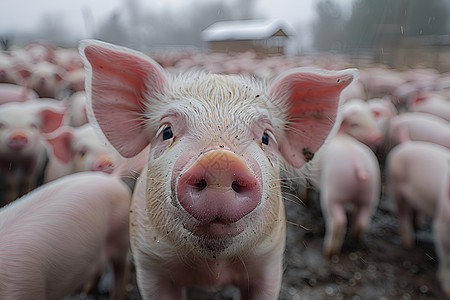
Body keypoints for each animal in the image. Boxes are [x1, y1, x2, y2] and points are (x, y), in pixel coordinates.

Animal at [80, 40, 356, 300]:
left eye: (266, 138)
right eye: (166, 132)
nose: (221, 160)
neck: (212, 269)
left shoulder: (269, 262)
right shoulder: (150, 264)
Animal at [386, 142, 450, 296]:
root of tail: (406, 144)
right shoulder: (441, 223)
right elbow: (446, 258)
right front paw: (447, 291)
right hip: (396, 184)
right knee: (402, 214)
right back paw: (409, 243)